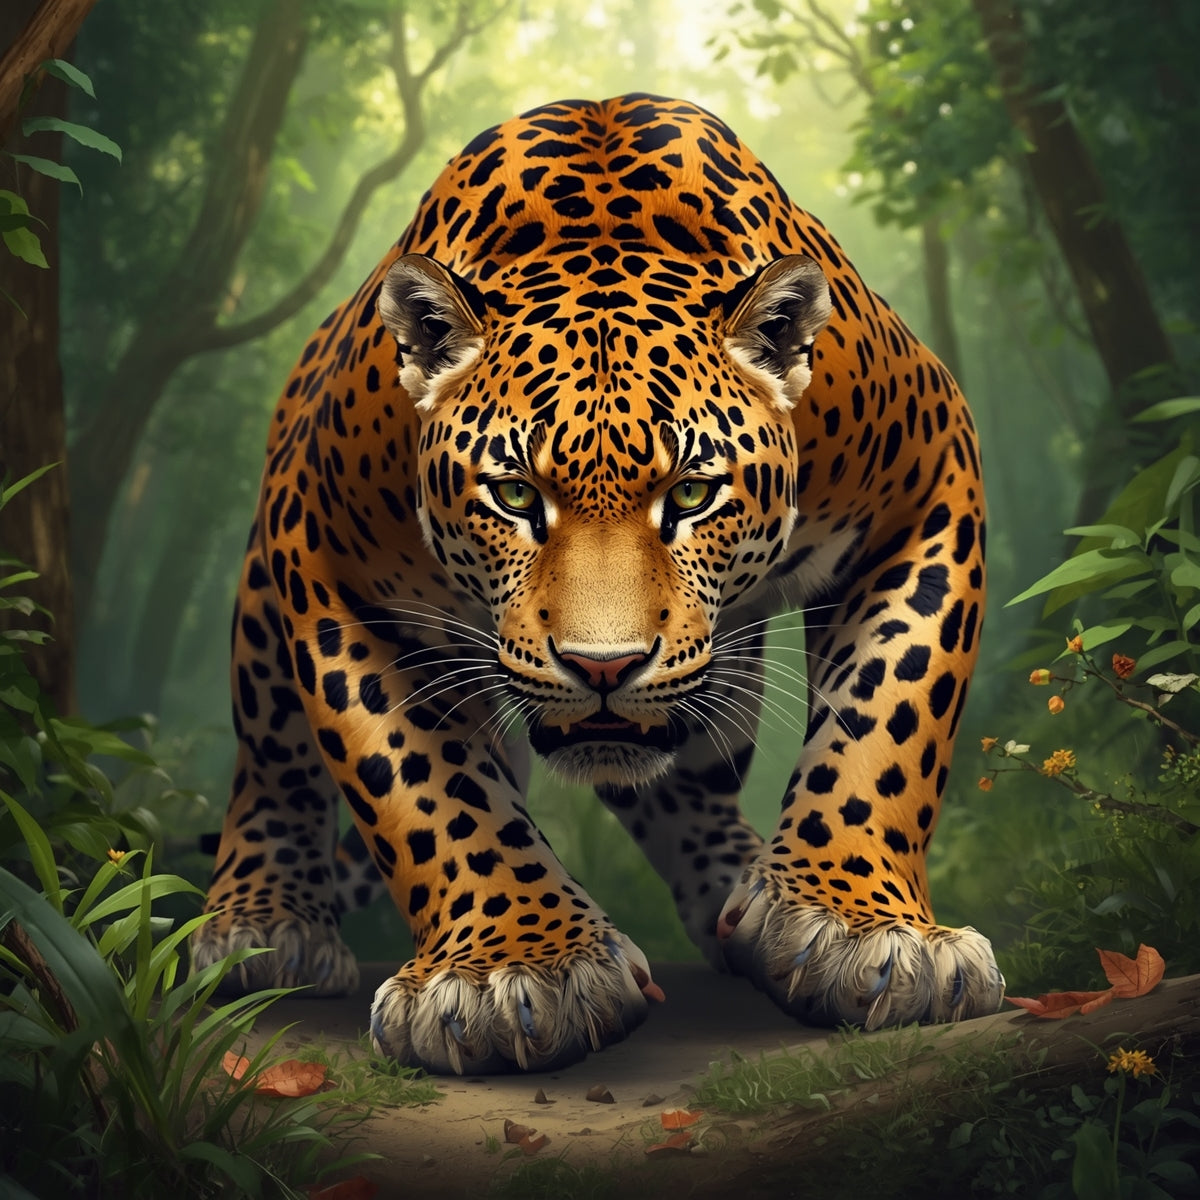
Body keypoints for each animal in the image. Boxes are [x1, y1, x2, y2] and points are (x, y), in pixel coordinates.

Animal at [193, 93, 1004, 1074]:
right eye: (513, 494)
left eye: (691, 493)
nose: (604, 667)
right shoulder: (332, 569)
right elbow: (426, 787)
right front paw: (512, 971)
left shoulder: (931, 480)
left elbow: (886, 721)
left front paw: (864, 930)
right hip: (264, 599)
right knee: (274, 764)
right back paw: (261, 925)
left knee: (689, 780)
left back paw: (739, 895)